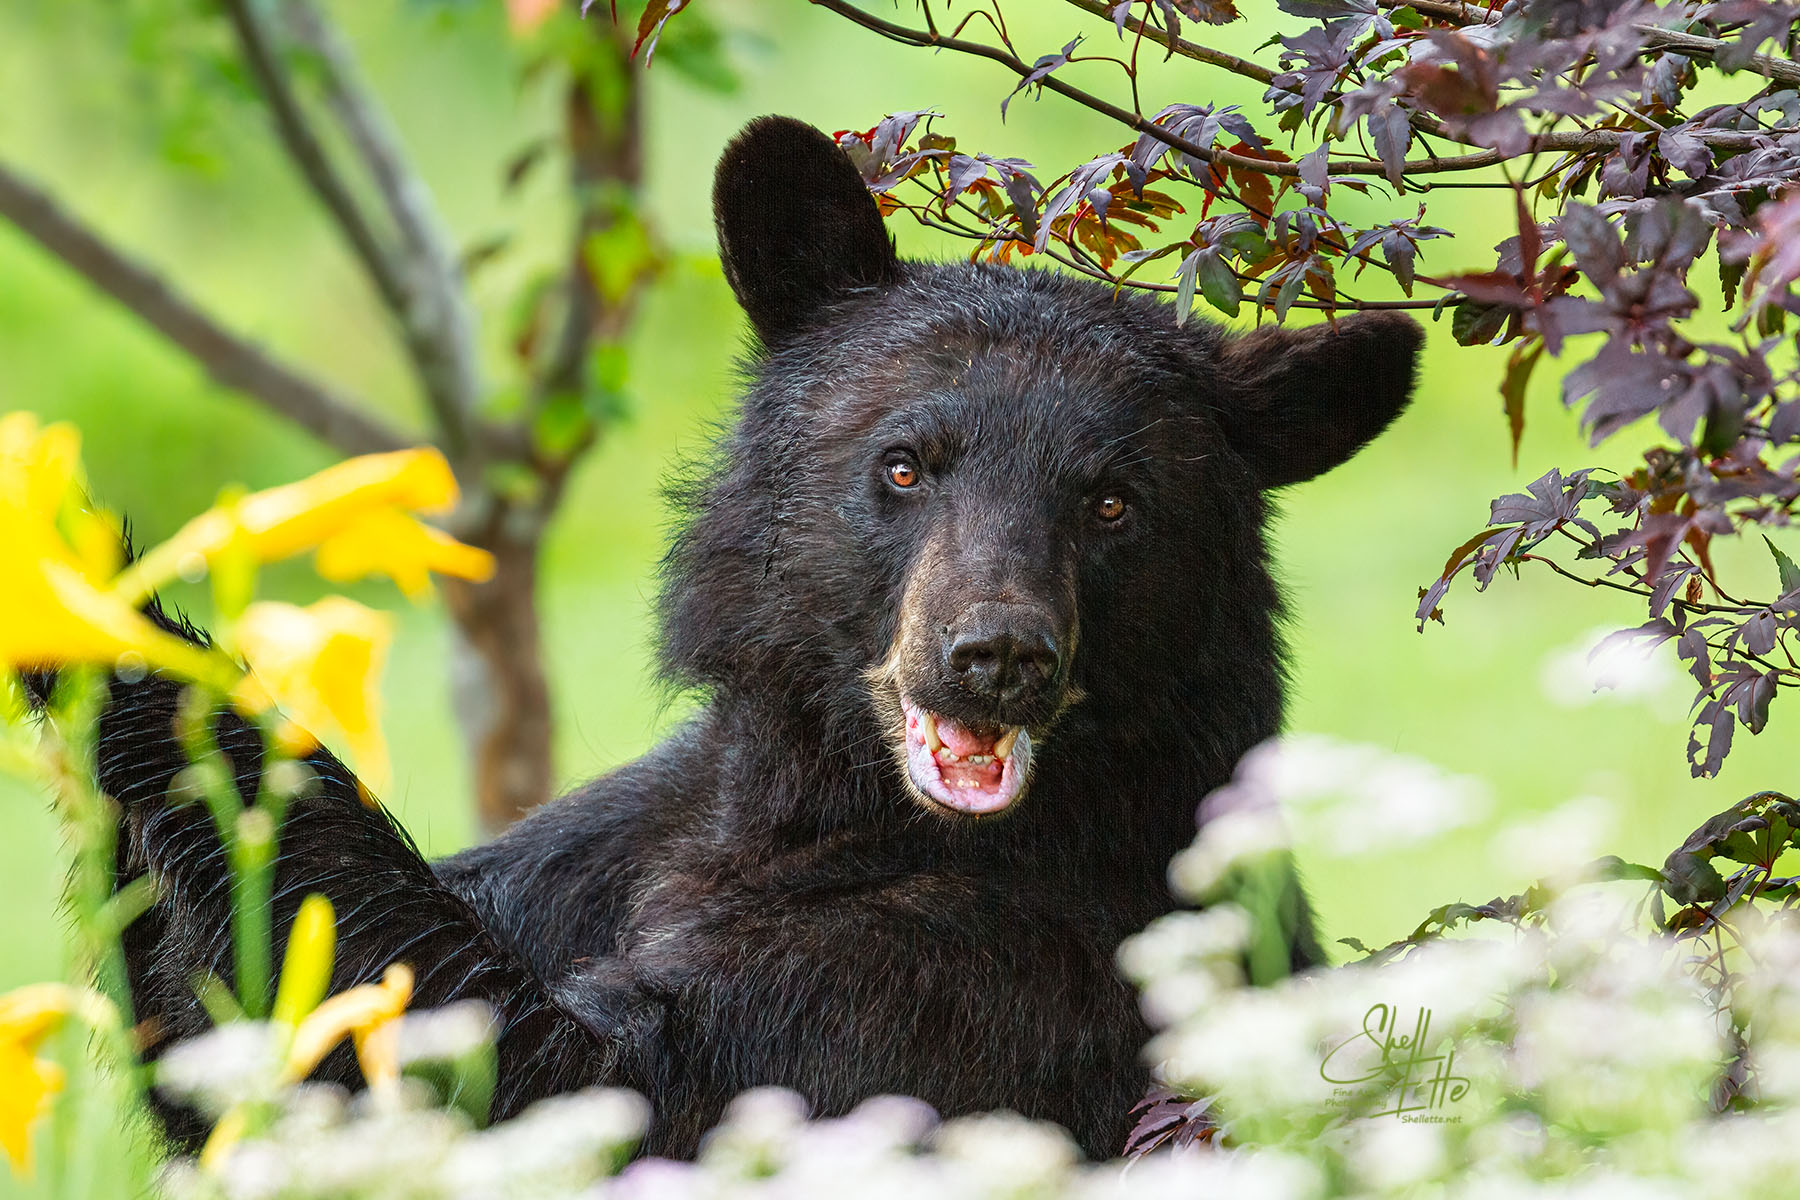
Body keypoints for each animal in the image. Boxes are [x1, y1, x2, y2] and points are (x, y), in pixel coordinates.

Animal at [94, 115, 1422, 1159]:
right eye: (905, 463)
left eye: (1113, 502)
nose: (997, 656)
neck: (833, 807)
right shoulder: (614, 839)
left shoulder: (1007, 969)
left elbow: (550, 1082)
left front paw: (141, 650)